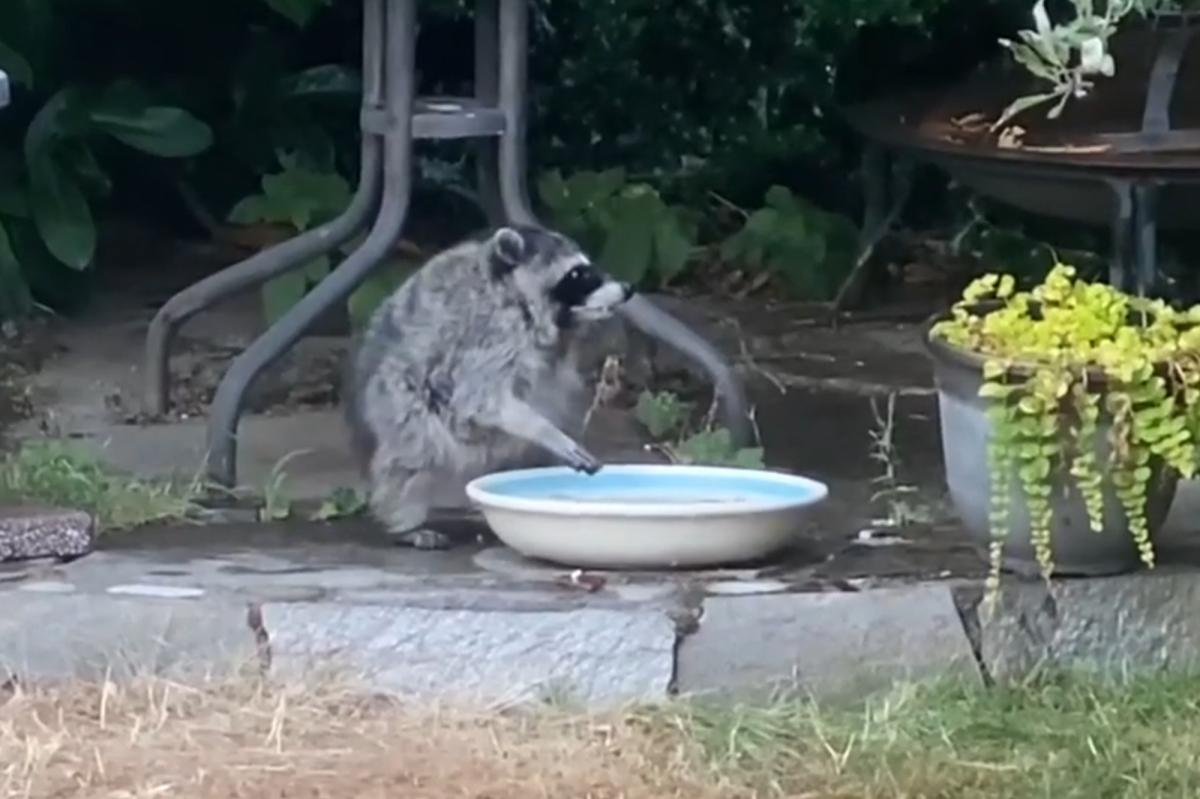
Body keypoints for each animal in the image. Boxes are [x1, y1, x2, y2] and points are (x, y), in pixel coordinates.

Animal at [344, 224, 634, 549]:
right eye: (576, 274)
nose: (627, 289)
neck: (514, 292)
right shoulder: (489, 333)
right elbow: (479, 398)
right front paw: (545, 431)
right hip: (394, 405)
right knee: (414, 452)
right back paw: (404, 520)